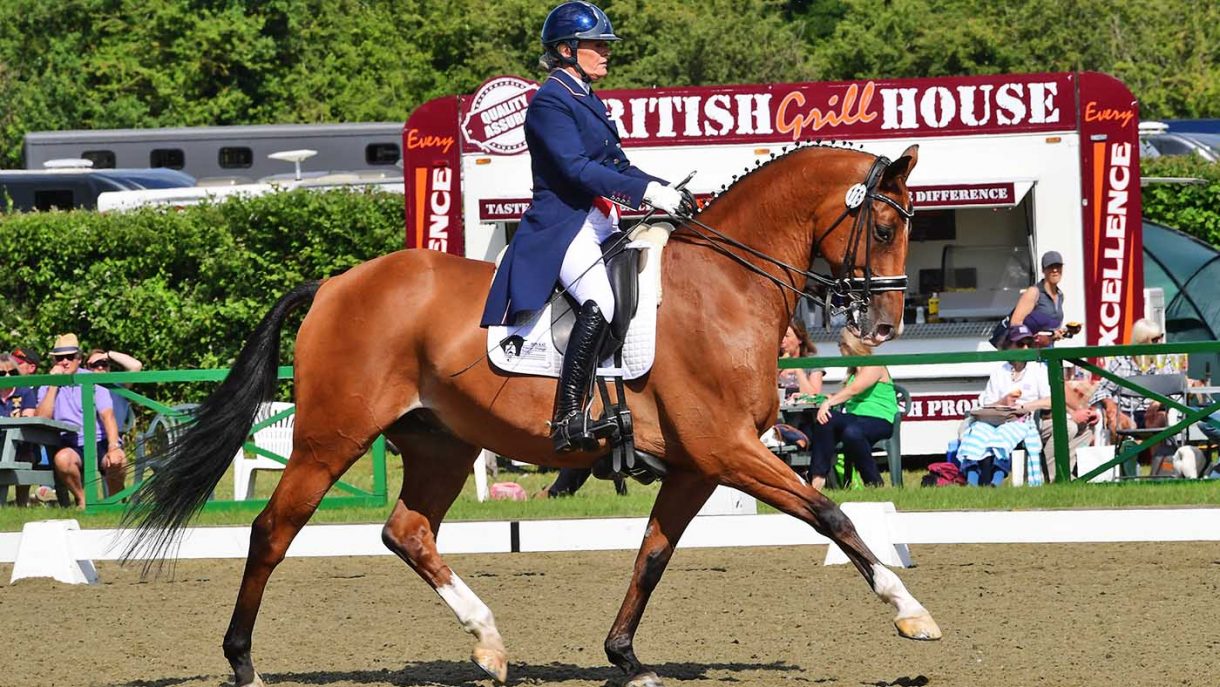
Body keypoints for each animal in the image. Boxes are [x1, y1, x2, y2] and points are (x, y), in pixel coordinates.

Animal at [122, 142, 939, 687]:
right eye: (886, 227)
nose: (883, 326)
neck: (725, 286)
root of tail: (335, 283)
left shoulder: (698, 465)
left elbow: (653, 554)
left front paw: (625, 658)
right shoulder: (728, 448)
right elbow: (831, 514)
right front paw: (911, 613)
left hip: (441, 445)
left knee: (406, 531)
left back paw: (488, 643)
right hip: (331, 438)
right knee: (272, 531)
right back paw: (243, 663)